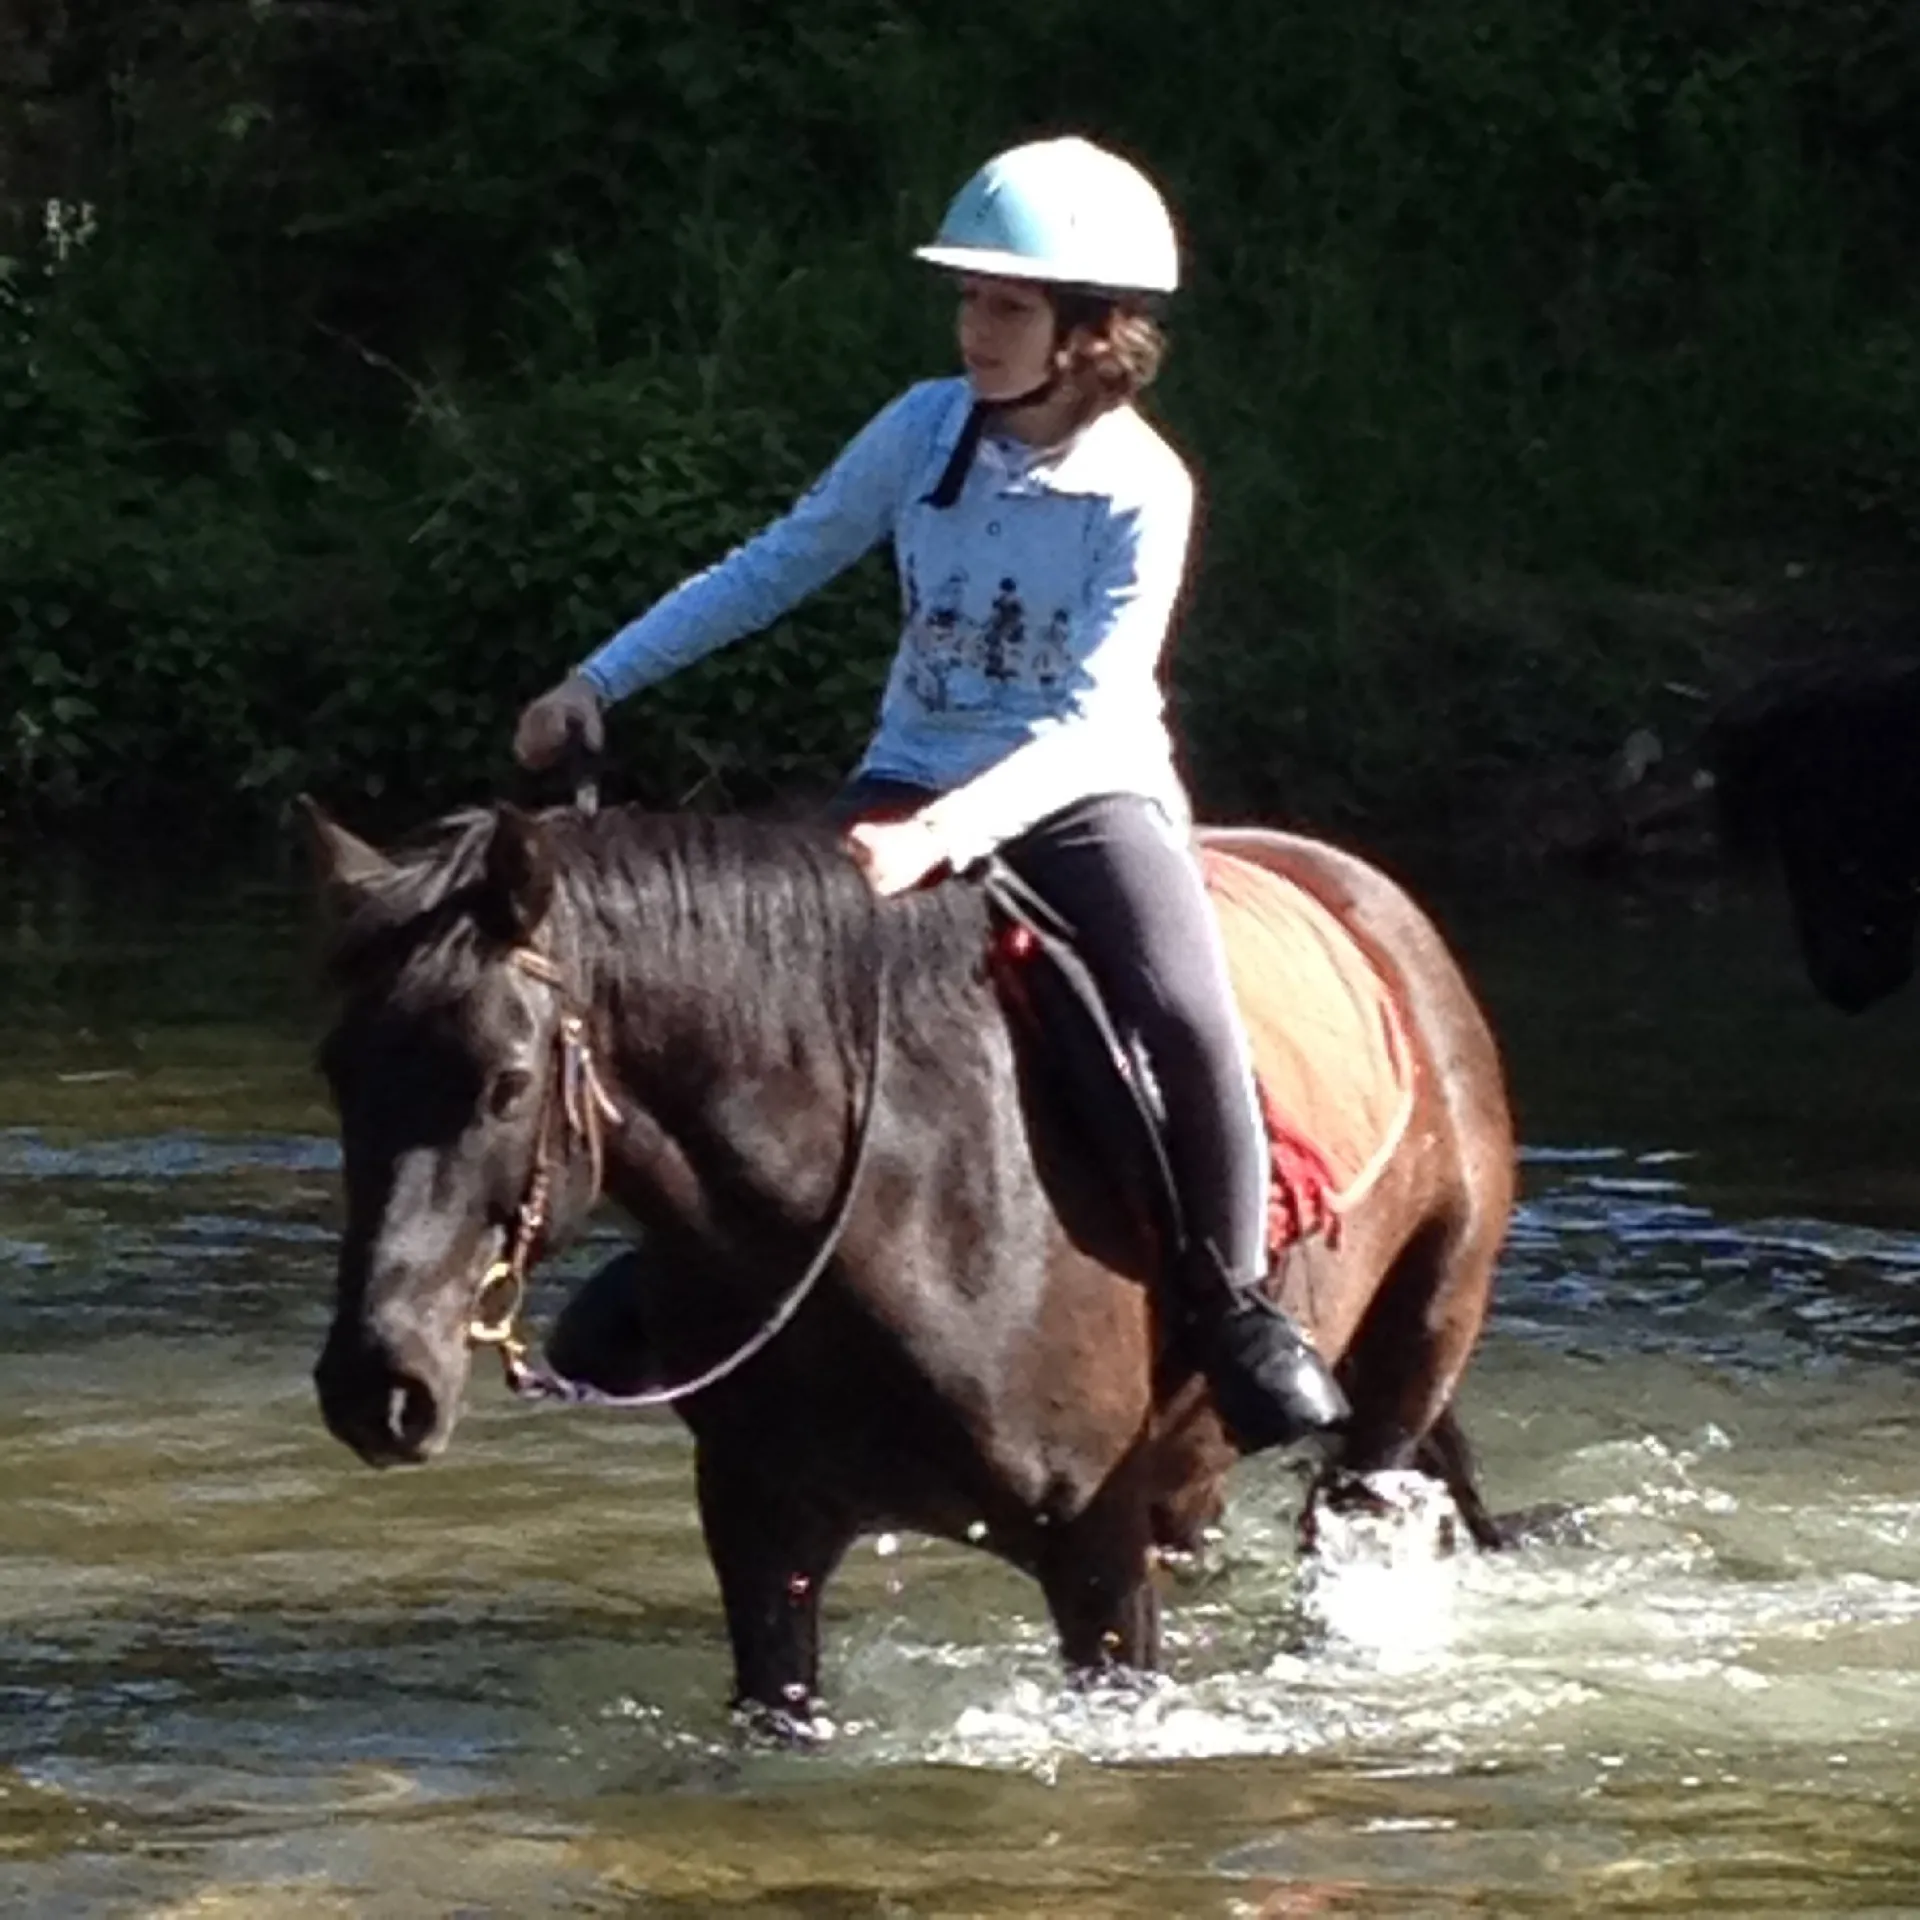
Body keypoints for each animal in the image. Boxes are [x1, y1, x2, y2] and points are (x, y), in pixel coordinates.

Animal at [311, 794, 1512, 1728]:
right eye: (338, 1072)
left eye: (506, 1081)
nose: (378, 1390)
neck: (898, 1213)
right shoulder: (764, 1538)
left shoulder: (1097, 1555)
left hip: (1397, 1388)